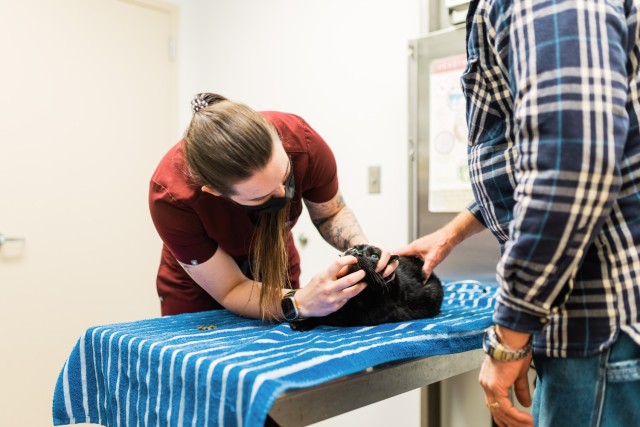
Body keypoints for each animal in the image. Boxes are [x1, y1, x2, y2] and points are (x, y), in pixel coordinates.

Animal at [288, 244, 442, 332]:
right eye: (353, 249)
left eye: (374, 256)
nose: (357, 252)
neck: (360, 297)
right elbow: (321, 314)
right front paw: (302, 323)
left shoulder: (361, 317)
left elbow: (331, 318)